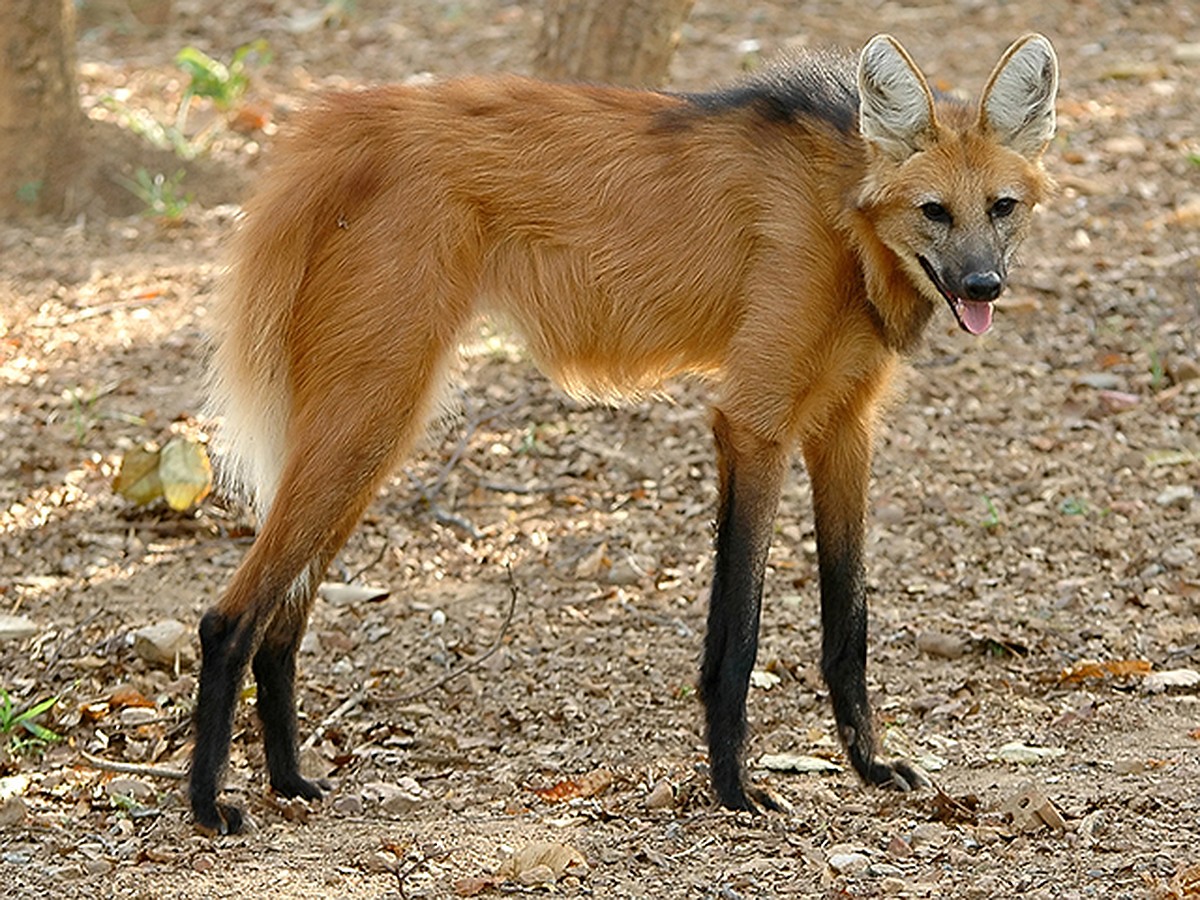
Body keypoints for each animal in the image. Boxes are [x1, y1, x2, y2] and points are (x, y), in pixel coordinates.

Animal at [189, 35, 1060, 840]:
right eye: (934, 211)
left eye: (1001, 207)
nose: (983, 285)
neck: (844, 216)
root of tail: (348, 120)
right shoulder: (754, 424)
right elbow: (738, 633)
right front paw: (735, 790)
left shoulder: (845, 427)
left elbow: (849, 621)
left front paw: (872, 767)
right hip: (373, 414)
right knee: (228, 618)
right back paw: (208, 804)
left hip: (372, 432)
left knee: (283, 621)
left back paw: (290, 779)